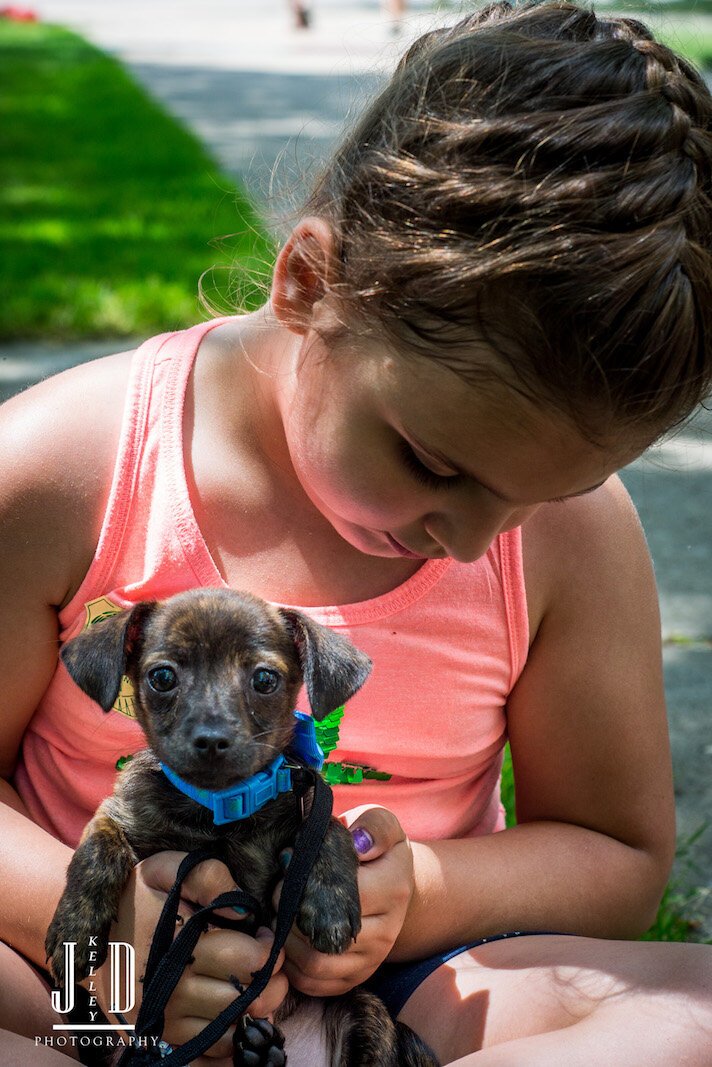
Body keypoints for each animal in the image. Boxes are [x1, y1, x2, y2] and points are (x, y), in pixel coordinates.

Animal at [47, 588, 437, 1067]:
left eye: (265, 680)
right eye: (162, 677)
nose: (212, 739)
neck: (221, 810)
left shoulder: (305, 800)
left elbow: (331, 827)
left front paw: (330, 903)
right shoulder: (120, 813)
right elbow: (95, 849)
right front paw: (75, 931)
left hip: (369, 1015)